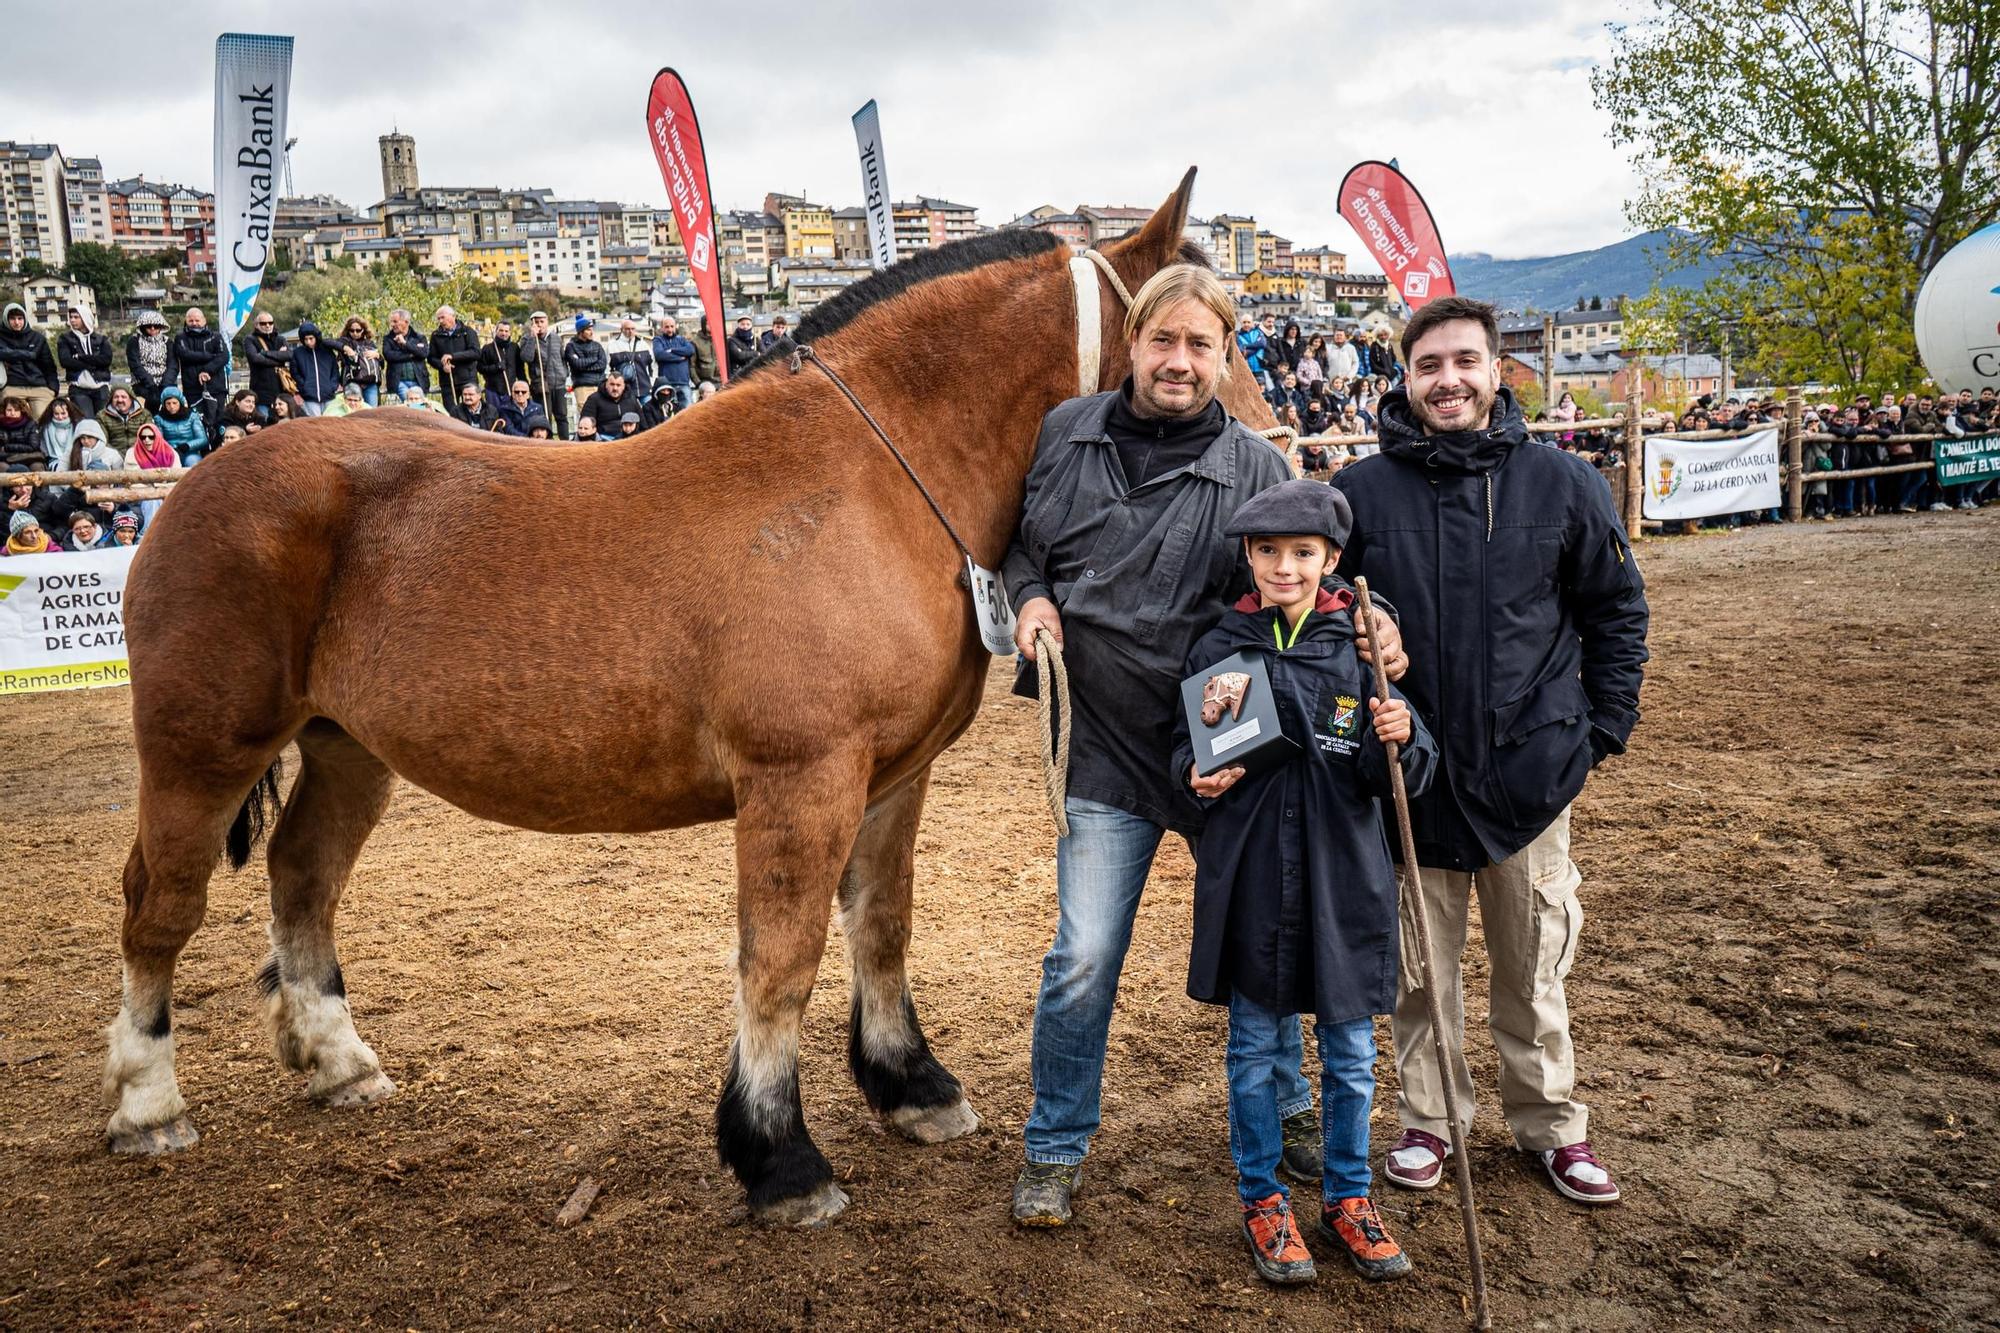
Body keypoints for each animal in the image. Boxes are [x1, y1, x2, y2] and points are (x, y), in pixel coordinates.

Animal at [101, 169, 1280, 1224]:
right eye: (1208, 340)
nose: (1282, 473)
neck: (866, 479)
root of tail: (200, 485)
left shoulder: (893, 776)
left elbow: (882, 925)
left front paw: (910, 1086)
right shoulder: (800, 780)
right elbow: (781, 958)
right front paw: (778, 1156)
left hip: (346, 747)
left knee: (302, 876)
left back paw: (339, 1060)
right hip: (200, 752)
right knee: (160, 906)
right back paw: (149, 1103)